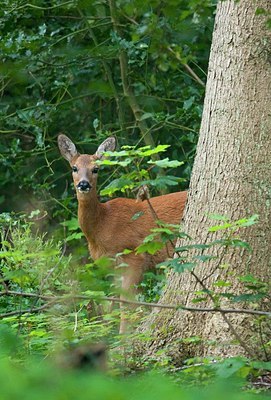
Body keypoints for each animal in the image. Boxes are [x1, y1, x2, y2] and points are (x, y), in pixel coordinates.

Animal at [58, 136, 188, 332]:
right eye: (74, 168)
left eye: (96, 169)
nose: (83, 184)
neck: (103, 226)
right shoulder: (114, 268)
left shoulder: (135, 255)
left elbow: (126, 302)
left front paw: (124, 337)